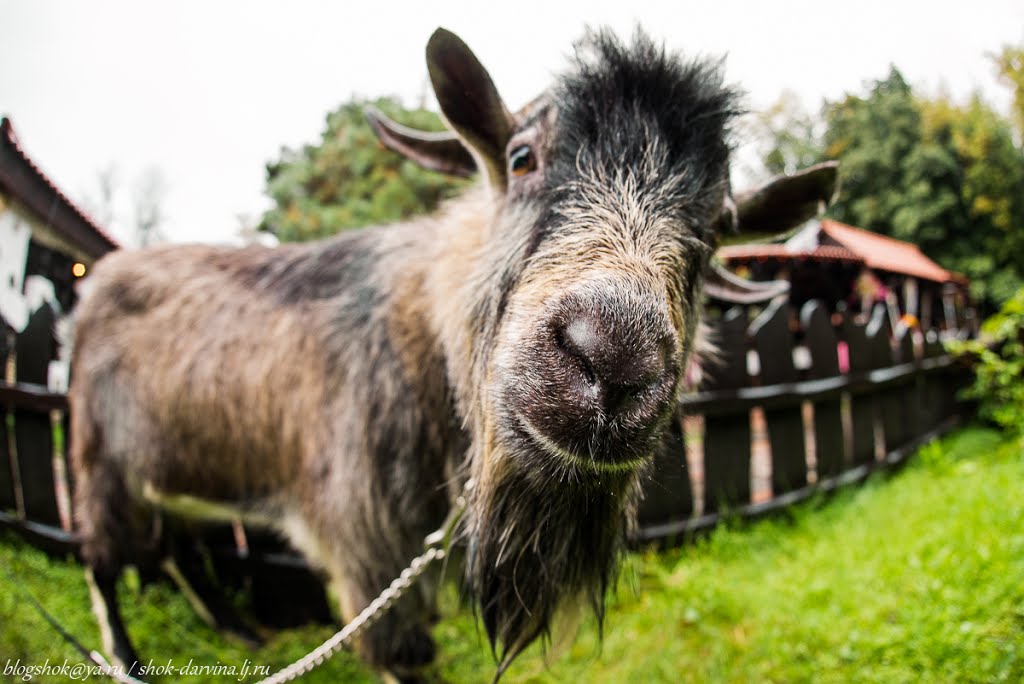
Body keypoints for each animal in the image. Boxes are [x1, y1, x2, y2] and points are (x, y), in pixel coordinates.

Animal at [70, 25, 839, 679]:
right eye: (522, 157)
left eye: (714, 232)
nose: (612, 358)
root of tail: (96, 281)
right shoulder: (366, 549)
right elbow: (402, 653)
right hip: (96, 457)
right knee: (103, 559)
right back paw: (127, 659)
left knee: (176, 546)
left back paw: (239, 631)